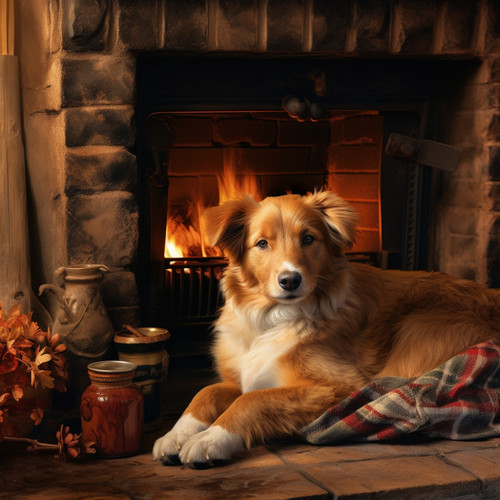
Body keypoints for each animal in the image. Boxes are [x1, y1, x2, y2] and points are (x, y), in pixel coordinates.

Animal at [151, 189, 500, 466]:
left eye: (308, 239)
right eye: (261, 243)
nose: (290, 280)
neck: (273, 318)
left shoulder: (340, 386)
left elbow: (251, 400)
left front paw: (212, 439)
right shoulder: (242, 376)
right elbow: (206, 392)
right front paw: (177, 434)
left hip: (417, 329)